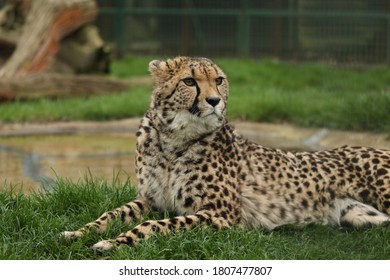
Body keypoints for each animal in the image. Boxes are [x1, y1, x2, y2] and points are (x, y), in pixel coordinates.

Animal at [61, 55, 390, 250]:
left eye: (218, 80)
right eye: (189, 81)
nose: (214, 100)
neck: (173, 139)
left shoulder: (221, 214)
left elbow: (155, 225)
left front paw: (114, 243)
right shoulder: (151, 200)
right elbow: (111, 213)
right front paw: (78, 233)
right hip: (361, 216)